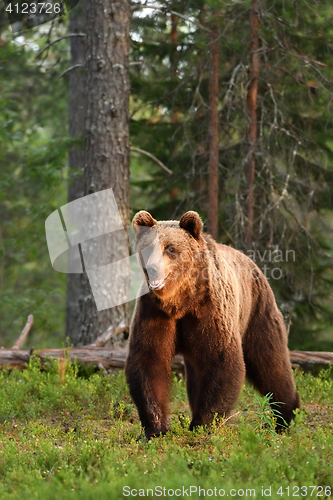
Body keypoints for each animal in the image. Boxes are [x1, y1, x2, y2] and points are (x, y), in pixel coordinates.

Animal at [125, 211, 300, 438]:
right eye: (147, 247)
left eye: (170, 248)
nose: (153, 268)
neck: (180, 302)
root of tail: (250, 261)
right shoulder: (154, 312)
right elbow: (148, 360)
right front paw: (155, 428)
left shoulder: (210, 310)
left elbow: (220, 359)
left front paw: (203, 423)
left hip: (257, 309)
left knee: (270, 360)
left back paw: (285, 416)